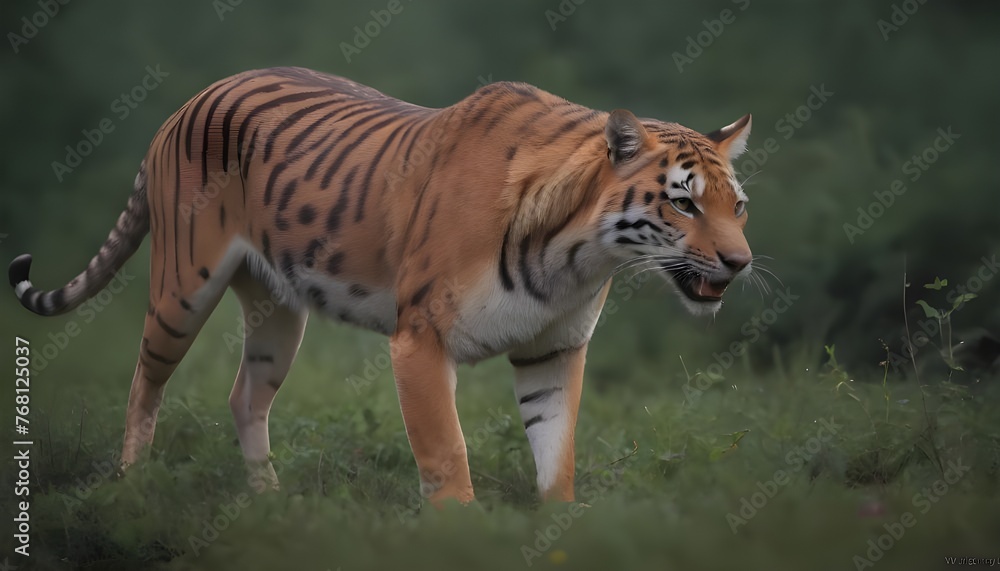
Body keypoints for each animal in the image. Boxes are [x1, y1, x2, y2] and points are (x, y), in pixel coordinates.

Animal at [8, 66, 753, 505]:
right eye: (683, 203)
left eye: (737, 206)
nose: (742, 262)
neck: (578, 255)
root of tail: (190, 99)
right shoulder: (419, 339)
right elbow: (446, 453)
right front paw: (466, 536)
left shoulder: (553, 349)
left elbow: (555, 453)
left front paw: (558, 527)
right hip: (181, 289)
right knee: (145, 382)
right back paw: (130, 487)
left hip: (278, 312)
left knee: (245, 395)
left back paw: (270, 505)